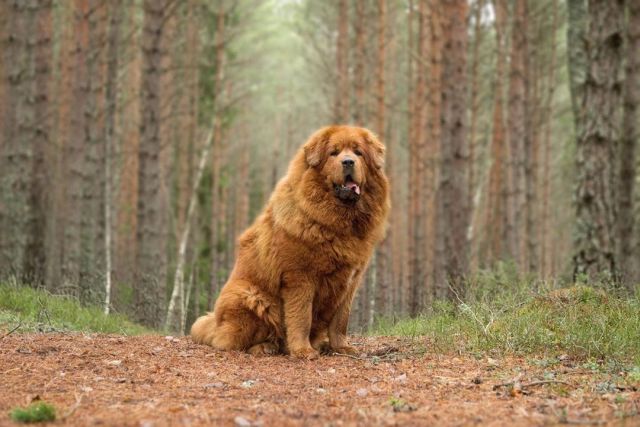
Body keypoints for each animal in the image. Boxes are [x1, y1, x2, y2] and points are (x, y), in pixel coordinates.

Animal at [190, 125, 390, 360]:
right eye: (334, 153)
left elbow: (341, 320)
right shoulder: (300, 277)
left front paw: (341, 348)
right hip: (250, 297)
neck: (337, 222)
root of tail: (215, 322)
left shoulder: (350, 281)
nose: (348, 162)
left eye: (358, 153)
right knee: (230, 341)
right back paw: (265, 347)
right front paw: (303, 351)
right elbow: (302, 317)